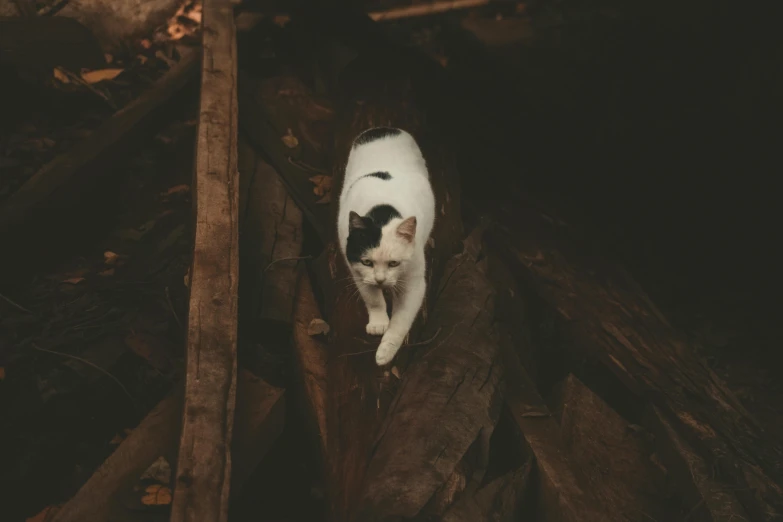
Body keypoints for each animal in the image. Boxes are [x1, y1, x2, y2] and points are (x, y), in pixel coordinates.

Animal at [336, 126, 434, 364]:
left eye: (394, 264)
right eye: (367, 262)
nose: (380, 280)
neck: (381, 213)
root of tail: (384, 129)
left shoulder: (414, 282)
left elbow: (401, 322)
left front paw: (386, 352)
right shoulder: (357, 270)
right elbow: (372, 298)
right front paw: (378, 323)